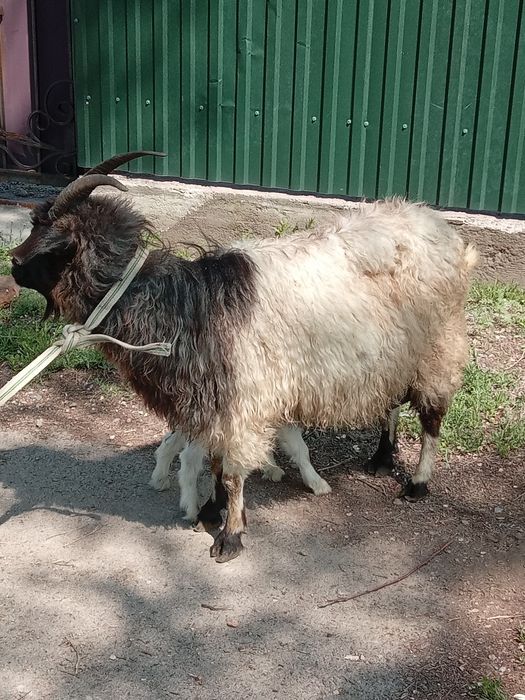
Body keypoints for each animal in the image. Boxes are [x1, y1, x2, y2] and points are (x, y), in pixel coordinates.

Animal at [150, 426, 332, 522]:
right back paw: (192, 507)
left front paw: (270, 466)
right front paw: (317, 483)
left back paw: (159, 477)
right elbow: (300, 448)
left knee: (172, 440)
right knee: (189, 458)